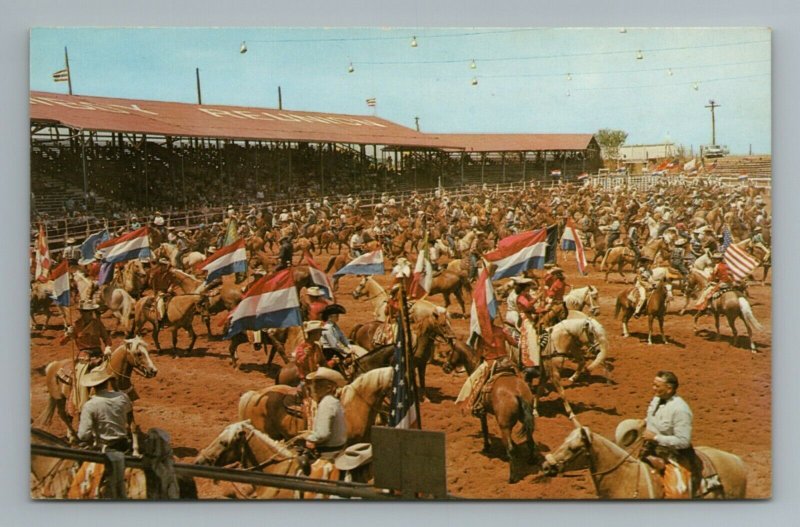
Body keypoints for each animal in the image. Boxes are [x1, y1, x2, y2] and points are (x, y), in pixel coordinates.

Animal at [440, 340, 536, 484]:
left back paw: (512, 478)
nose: (445, 367)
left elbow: (484, 428)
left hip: (504, 426)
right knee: (530, 441)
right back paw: (531, 460)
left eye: (450, 351)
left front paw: (486, 447)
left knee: (510, 449)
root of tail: (518, 393)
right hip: (524, 420)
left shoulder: (482, 412)